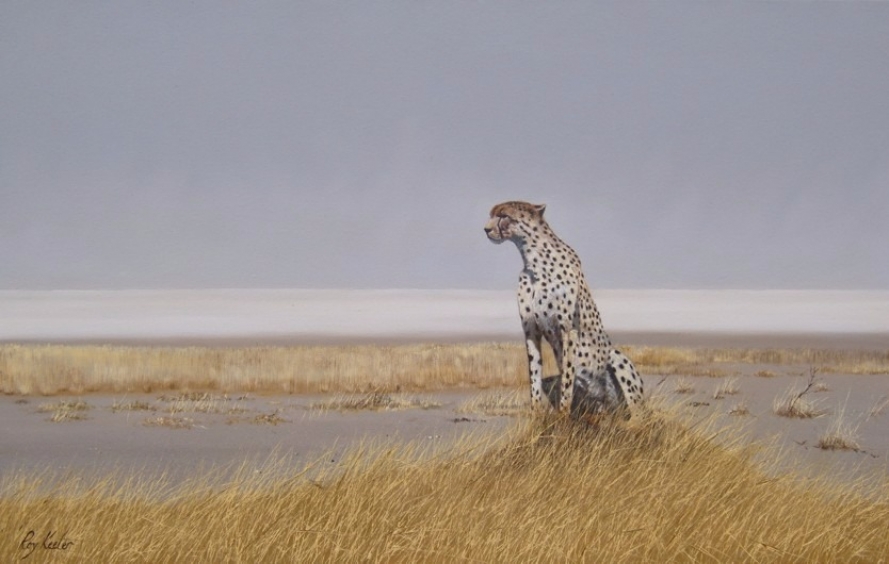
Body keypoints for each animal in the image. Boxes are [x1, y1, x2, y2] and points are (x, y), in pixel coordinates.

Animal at [484, 200, 644, 417]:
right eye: (492, 215)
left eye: (503, 216)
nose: (486, 229)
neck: (533, 259)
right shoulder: (530, 330)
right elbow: (534, 375)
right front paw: (535, 415)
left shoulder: (567, 330)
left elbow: (567, 377)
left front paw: (562, 416)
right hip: (575, 391)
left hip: (616, 359)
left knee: (636, 413)